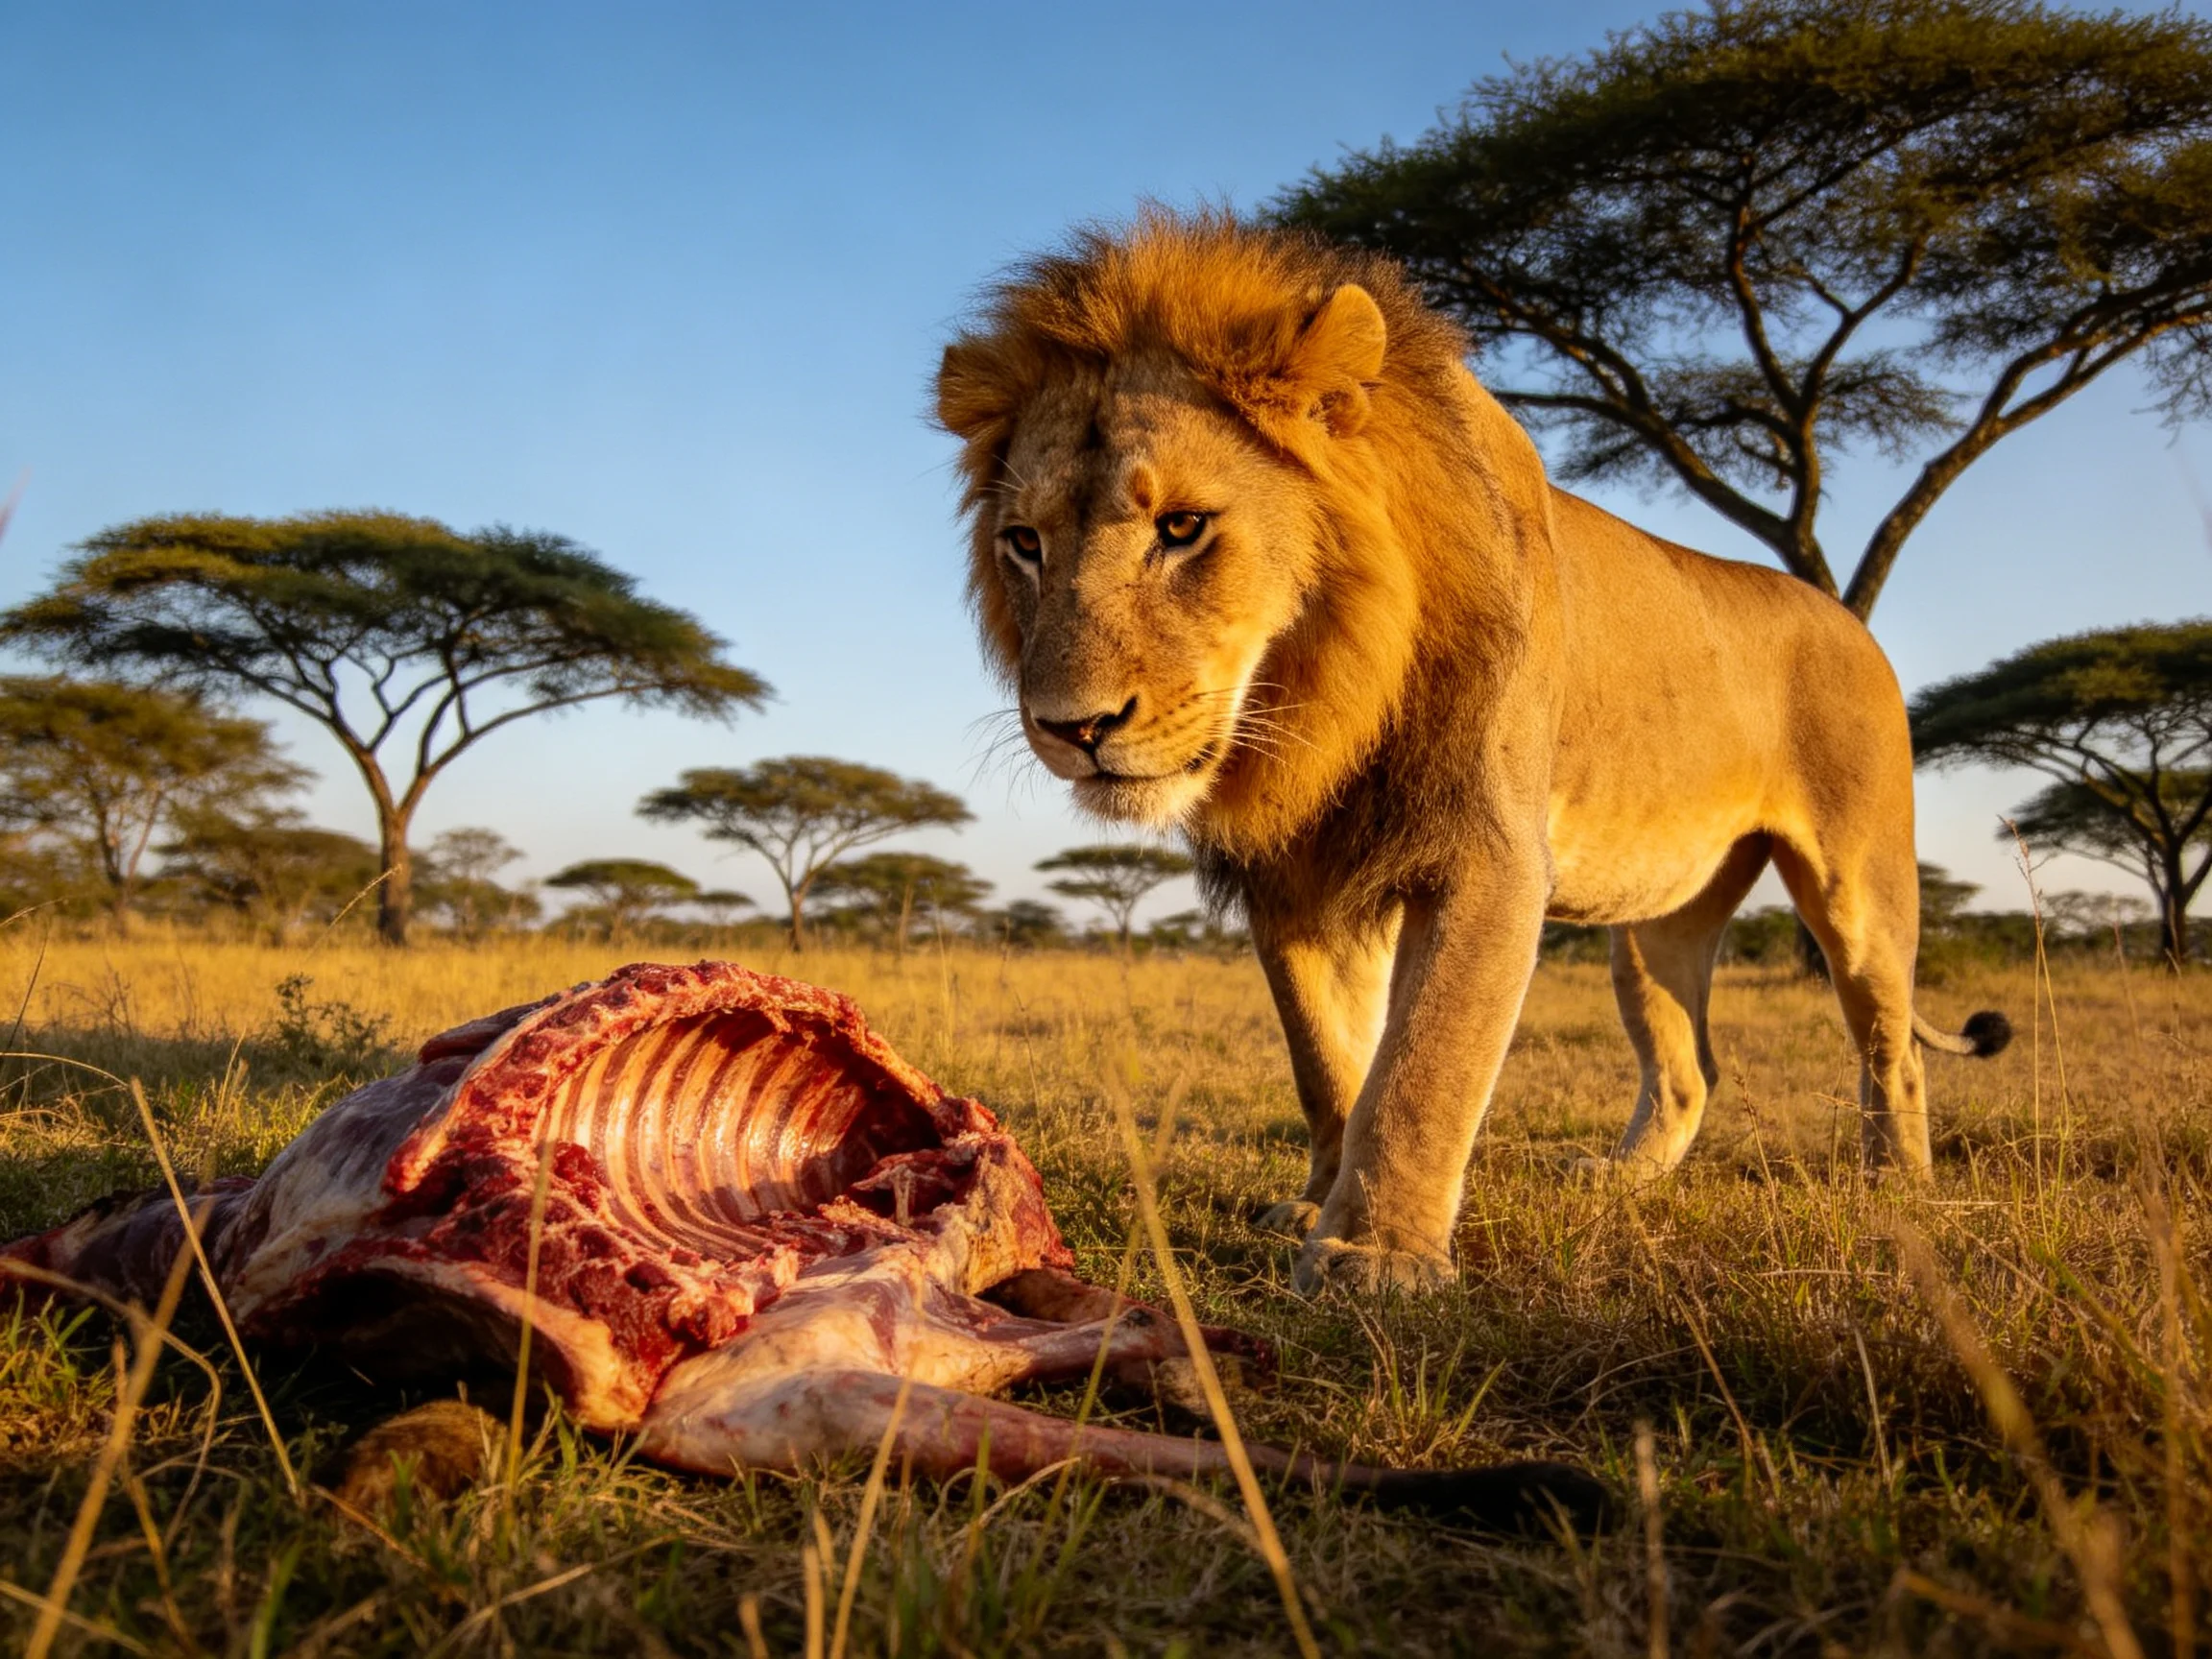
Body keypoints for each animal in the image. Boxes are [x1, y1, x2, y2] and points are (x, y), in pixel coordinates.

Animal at [935, 212, 2009, 1295]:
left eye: (1183, 527)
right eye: (1024, 543)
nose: (1070, 728)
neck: (1319, 698)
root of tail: (1845, 615)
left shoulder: (1486, 853)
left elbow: (1424, 1062)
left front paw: (1376, 1254)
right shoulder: (1296, 878)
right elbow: (1329, 1058)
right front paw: (1318, 1204)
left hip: (1858, 884)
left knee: (1891, 1043)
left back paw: (1896, 1191)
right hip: (1658, 923)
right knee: (1689, 1067)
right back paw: (1617, 1181)